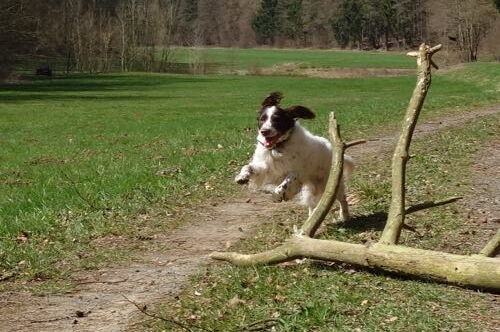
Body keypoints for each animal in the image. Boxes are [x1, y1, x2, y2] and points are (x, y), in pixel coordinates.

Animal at [234, 91, 352, 220]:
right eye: (262, 119)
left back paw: (344, 216)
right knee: (312, 204)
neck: (277, 147)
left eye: (277, 120)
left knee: (342, 199)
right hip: (311, 189)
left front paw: (277, 196)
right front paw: (242, 177)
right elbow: (248, 167)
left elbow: (286, 182)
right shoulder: (266, 168)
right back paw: (311, 218)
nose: (264, 131)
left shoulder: (296, 173)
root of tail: (332, 148)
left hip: (330, 184)